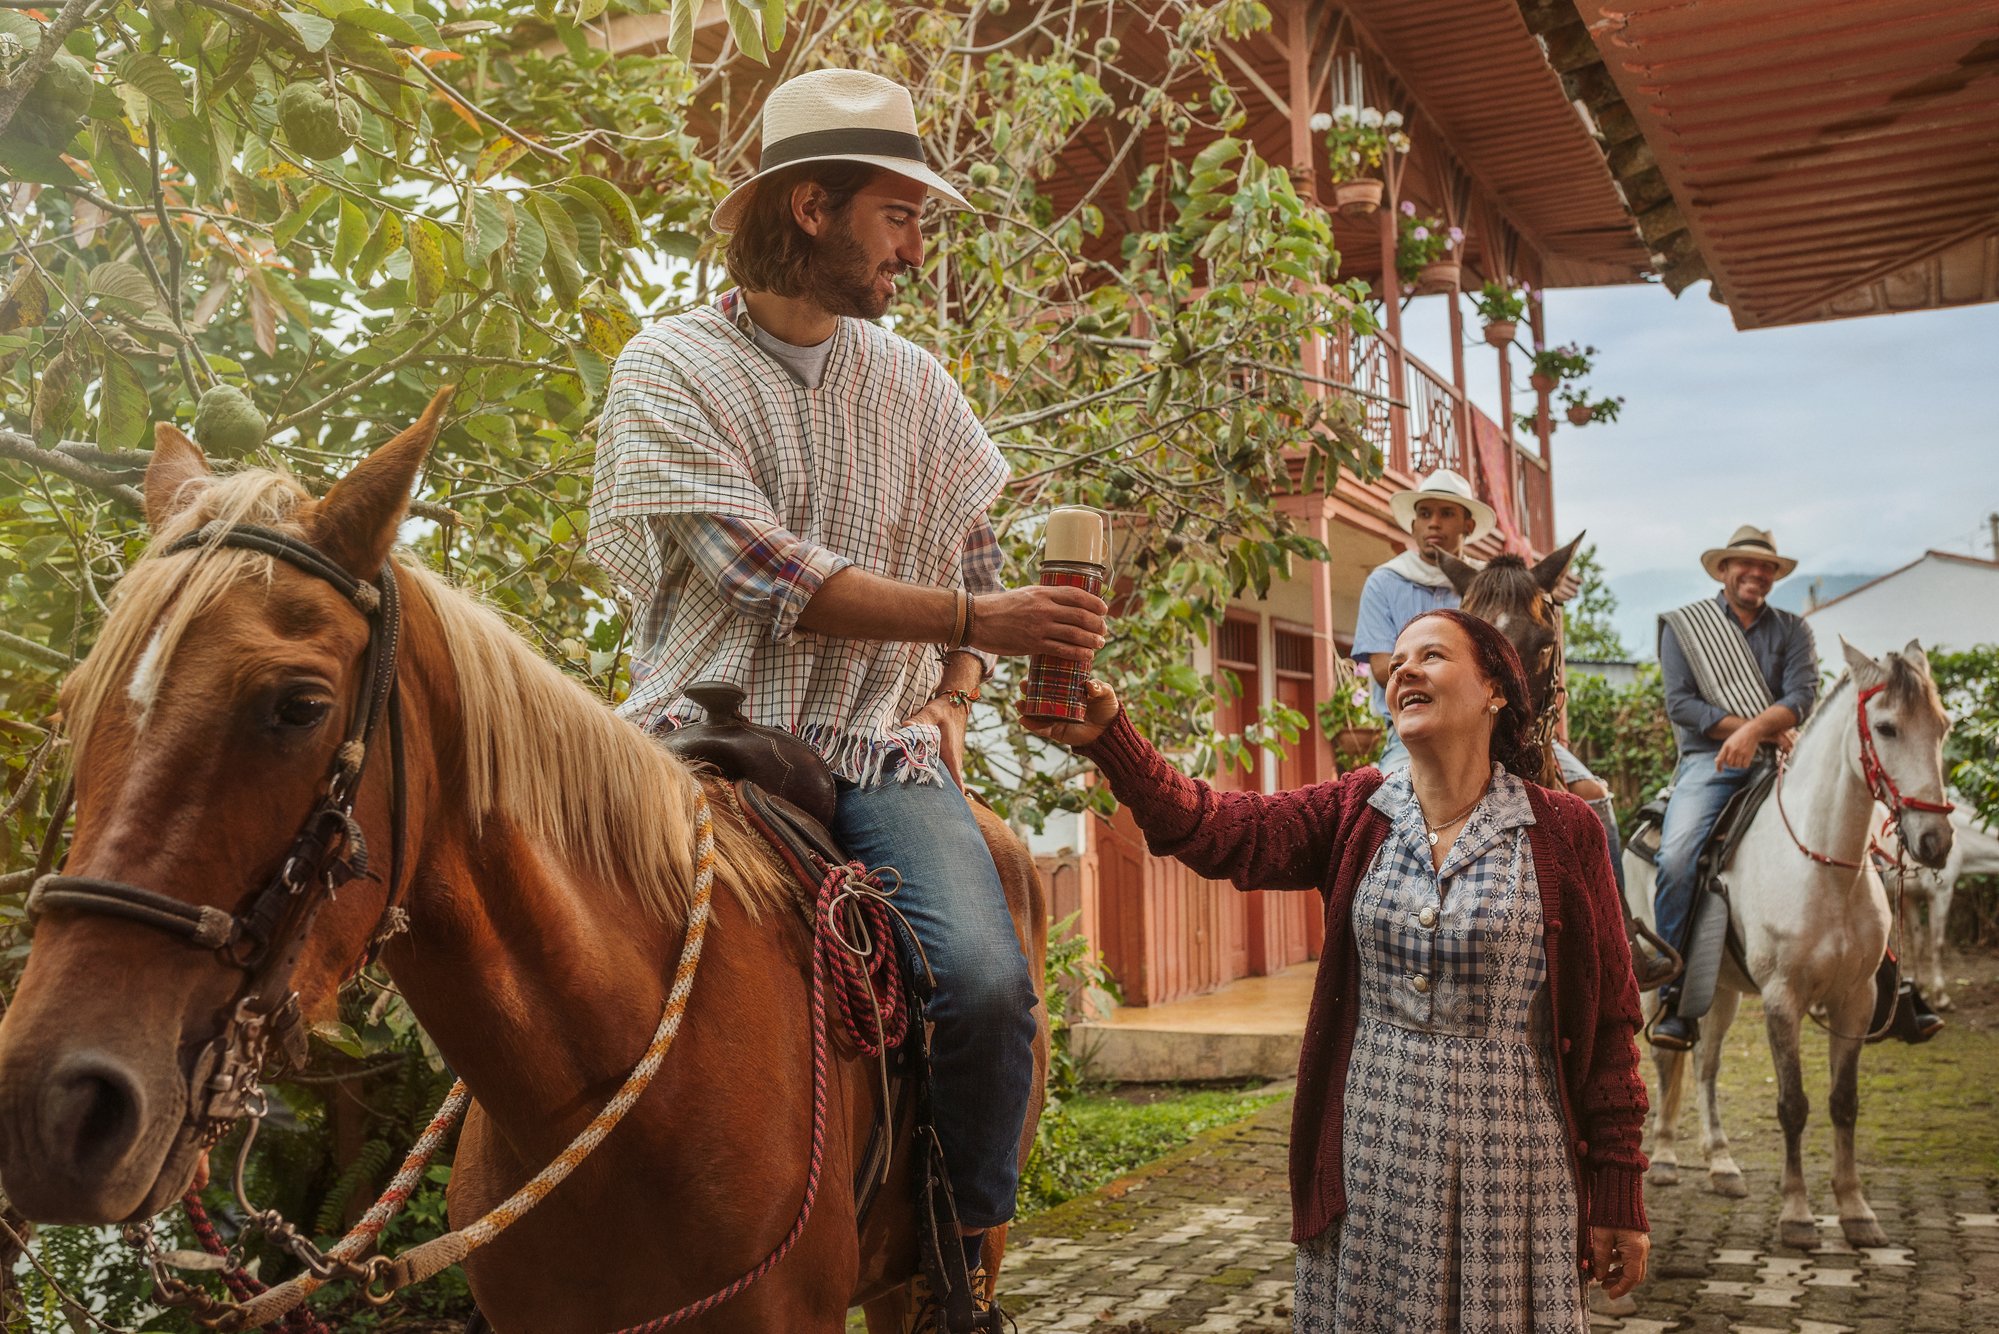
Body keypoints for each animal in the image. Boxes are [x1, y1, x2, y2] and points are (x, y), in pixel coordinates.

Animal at [1623, 636, 1951, 1256]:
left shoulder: (1856, 1002)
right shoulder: (1783, 998)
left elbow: (1844, 1103)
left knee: (1705, 1064)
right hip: (1660, 982)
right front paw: (1798, 1214)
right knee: (1666, 1054)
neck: (1824, 866)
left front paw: (1856, 1211)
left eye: (1943, 726)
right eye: (1887, 727)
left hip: (1720, 988)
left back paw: (1722, 1163)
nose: (1935, 840)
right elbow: (1793, 1105)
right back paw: (1668, 1157)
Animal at [1871, 804, 1999, 1012]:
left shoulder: (1909, 898)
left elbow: (1918, 943)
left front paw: (1921, 989)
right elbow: (1936, 943)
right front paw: (1941, 997)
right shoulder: (1941, 892)